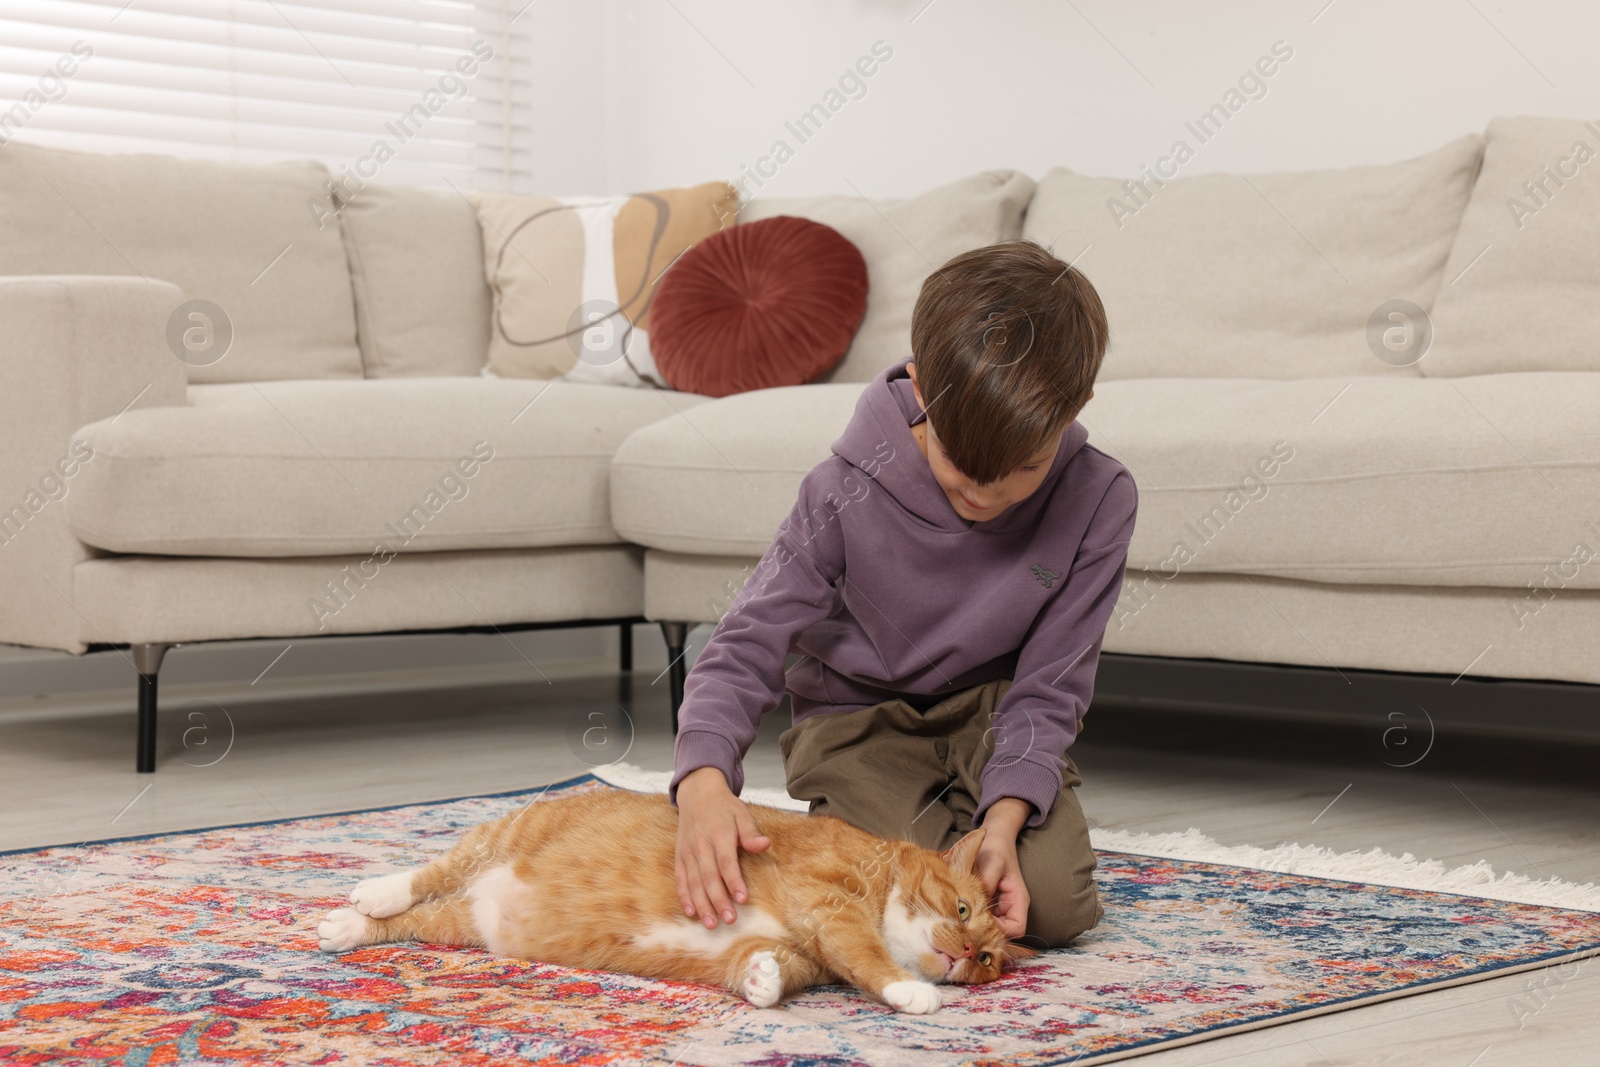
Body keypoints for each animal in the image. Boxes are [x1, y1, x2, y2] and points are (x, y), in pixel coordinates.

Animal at [315, 793, 1036, 1011]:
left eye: (989, 961)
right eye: (964, 911)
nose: (965, 954)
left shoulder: (799, 943)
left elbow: (776, 968)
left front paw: (765, 980)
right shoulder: (831, 903)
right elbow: (867, 955)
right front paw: (914, 992)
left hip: (464, 924)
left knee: (416, 920)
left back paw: (345, 925)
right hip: (505, 835)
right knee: (428, 873)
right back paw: (370, 892)